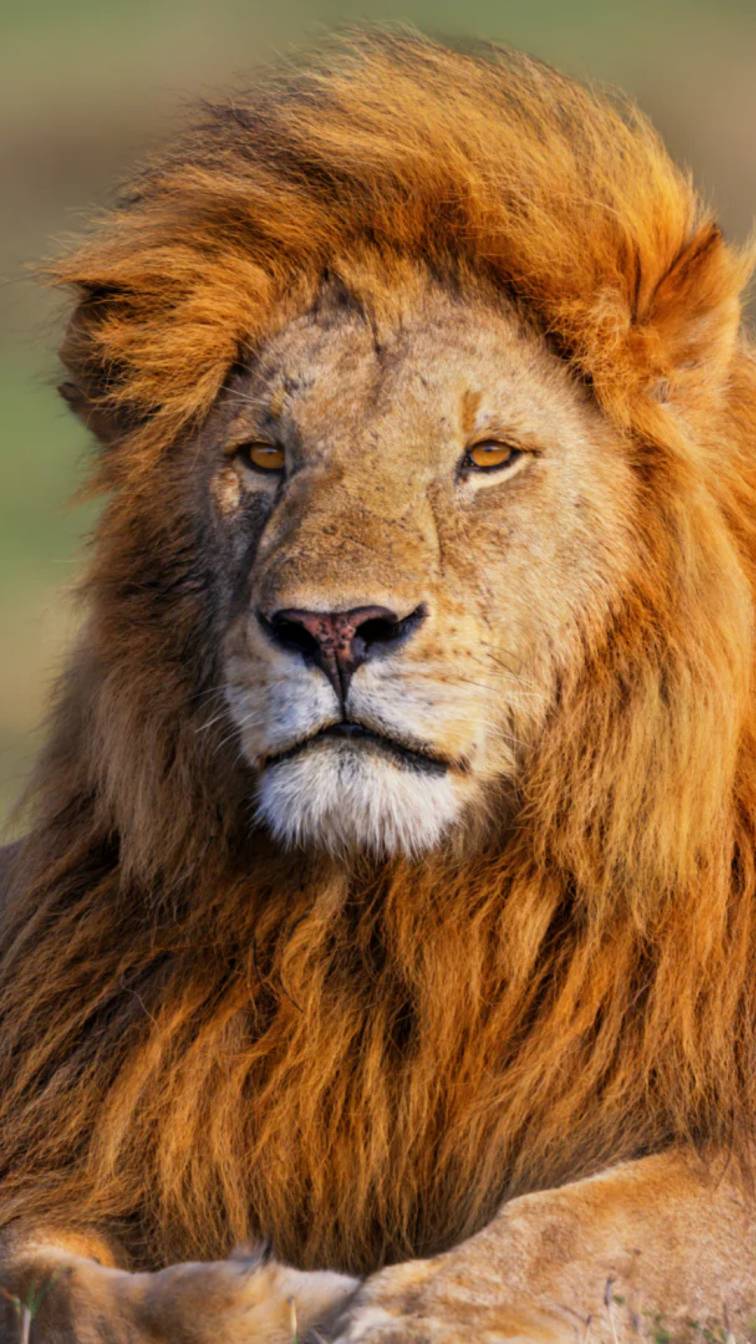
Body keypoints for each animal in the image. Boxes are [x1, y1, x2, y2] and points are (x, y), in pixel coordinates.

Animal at [0, 29, 753, 1344]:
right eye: (263, 456)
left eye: (488, 456)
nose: (334, 628)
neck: (413, 921)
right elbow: (44, 1277)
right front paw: (253, 1296)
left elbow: (613, 1224)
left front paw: (419, 1311)